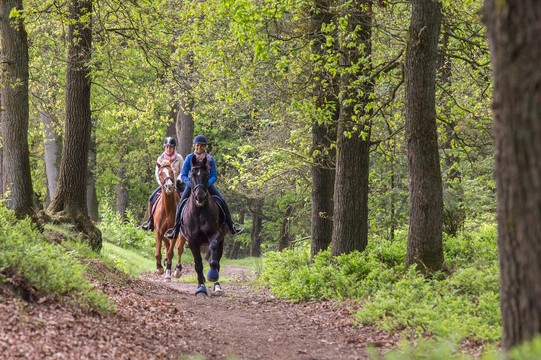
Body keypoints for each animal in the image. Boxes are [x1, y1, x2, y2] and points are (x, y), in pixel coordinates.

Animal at [179, 155, 226, 296]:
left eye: (206, 175)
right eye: (192, 175)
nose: (200, 197)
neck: (199, 211)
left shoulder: (215, 234)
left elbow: (213, 255)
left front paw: (212, 275)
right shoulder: (192, 240)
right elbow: (198, 264)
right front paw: (201, 287)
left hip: (221, 240)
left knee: (217, 259)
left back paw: (217, 285)